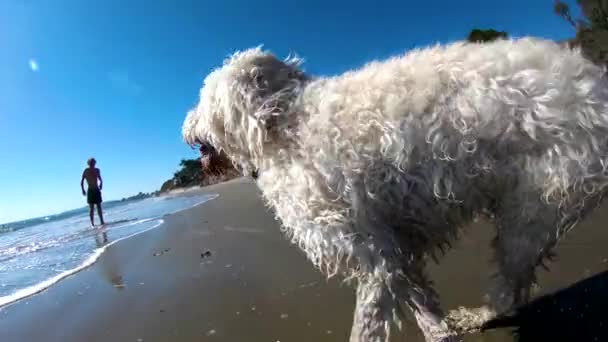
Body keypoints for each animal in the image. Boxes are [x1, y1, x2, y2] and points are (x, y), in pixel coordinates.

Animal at [183, 38, 608, 342]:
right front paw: (440, 333)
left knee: (508, 287)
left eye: (203, 98)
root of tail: (595, 87)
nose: (185, 127)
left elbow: (367, 325)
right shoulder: (394, 250)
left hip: (534, 209)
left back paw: (478, 315)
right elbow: (422, 302)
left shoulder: (372, 257)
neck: (285, 121)